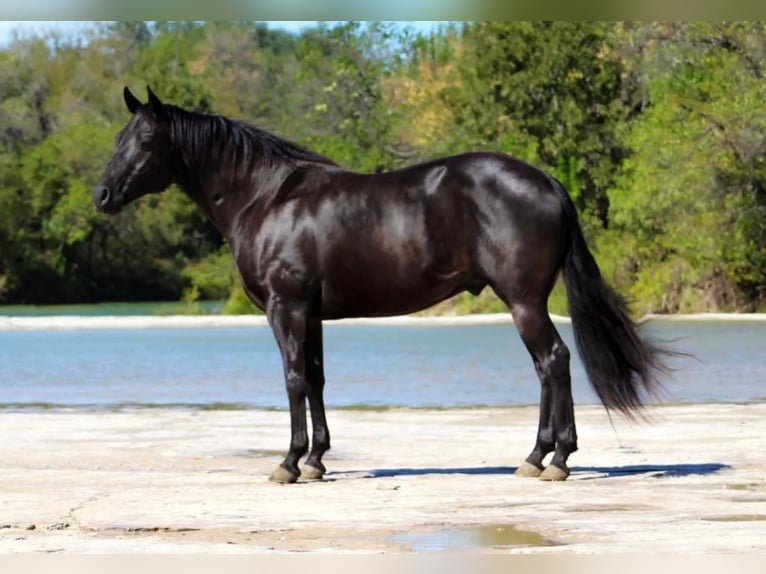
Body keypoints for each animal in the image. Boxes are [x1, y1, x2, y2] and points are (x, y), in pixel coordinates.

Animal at [94, 89, 672, 486]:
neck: (267, 198)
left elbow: (293, 380)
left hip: (524, 300)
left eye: (145, 141)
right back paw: (539, 457)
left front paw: (289, 462)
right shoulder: (311, 313)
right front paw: (317, 460)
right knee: (548, 365)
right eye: (118, 139)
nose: (102, 196)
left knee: (552, 361)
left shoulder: (286, 309)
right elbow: (316, 379)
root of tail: (547, 181)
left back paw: (552, 460)